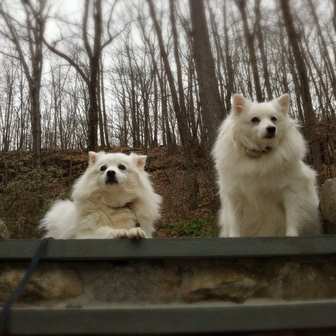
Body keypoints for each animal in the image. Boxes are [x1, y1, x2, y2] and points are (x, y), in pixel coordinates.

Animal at [213, 93, 320, 238]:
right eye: (255, 120)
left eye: (273, 119)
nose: (271, 128)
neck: (260, 154)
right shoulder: (234, 194)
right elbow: (235, 223)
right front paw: (234, 237)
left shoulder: (291, 191)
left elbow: (292, 218)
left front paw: (291, 235)